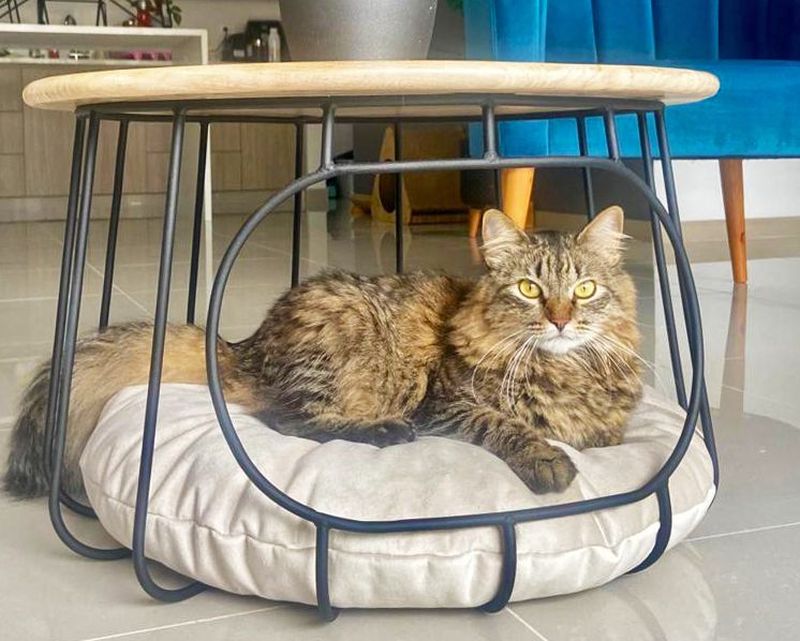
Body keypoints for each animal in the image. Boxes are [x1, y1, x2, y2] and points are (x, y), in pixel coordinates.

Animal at [4, 205, 644, 496]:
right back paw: (385, 431)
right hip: (339, 334)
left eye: (585, 289)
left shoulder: (611, 427)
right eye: (530, 289)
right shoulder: (443, 403)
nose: (560, 320)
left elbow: (601, 436)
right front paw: (547, 459)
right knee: (289, 419)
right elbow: (504, 425)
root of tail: (244, 347)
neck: (562, 368)